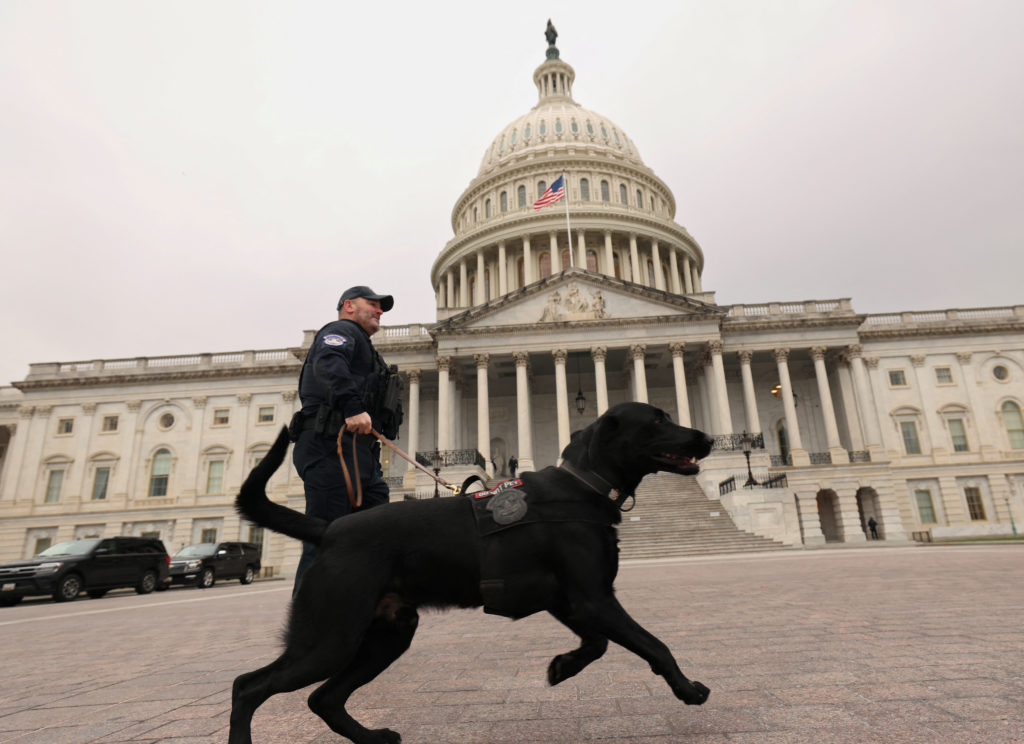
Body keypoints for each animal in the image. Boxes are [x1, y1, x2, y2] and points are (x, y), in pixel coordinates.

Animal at [230, 405, 712, 744]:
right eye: (658, 419)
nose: (708, 437)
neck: (581, 485)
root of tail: (329, 528)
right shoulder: (594, 599)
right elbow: (654, 644)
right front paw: (688, 689)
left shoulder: (571, 601)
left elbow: (597, 644)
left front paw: (562, 667)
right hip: (331, 638)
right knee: (248, 686)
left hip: (387, 635)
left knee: (323, 698)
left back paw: (372, 736)